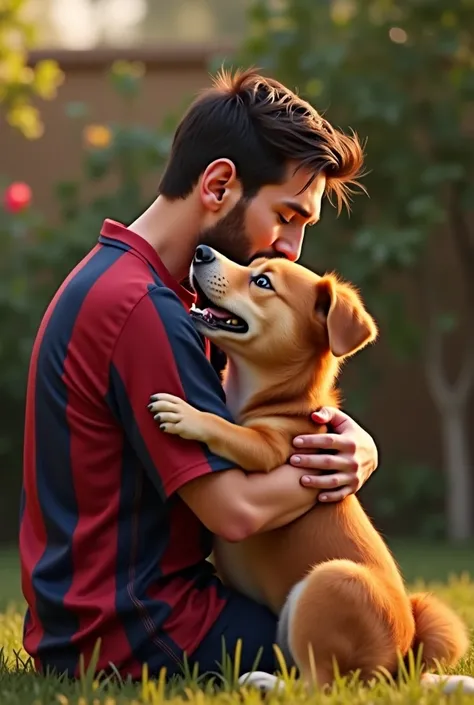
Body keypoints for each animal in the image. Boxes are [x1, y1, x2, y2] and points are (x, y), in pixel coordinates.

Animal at [150, 246, 468, 688]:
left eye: (262, 281)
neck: (279, 399)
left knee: (322, 683)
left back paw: (263, 681)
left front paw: (189, 414)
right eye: (252, 265)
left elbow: (228, 430)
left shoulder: (271, 448)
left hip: (329, 582)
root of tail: (400, 665)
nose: (202, 252)